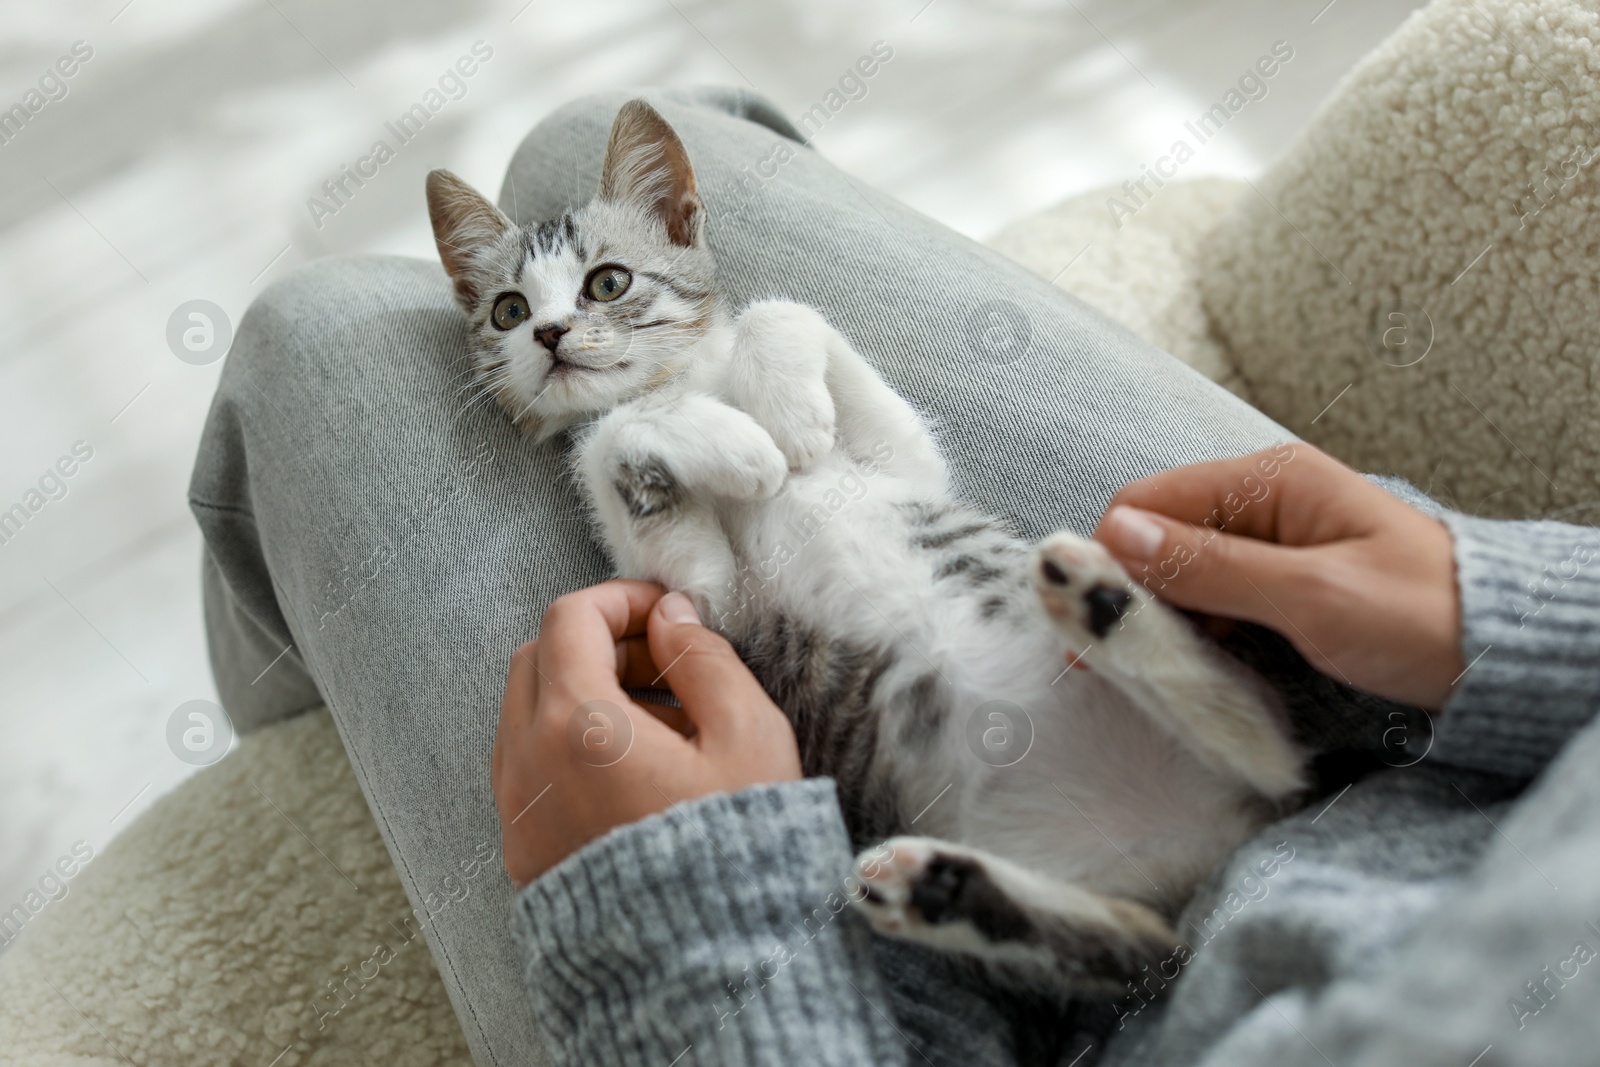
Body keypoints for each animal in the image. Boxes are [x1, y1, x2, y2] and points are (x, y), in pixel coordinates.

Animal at [432, 99, 1305, 1004]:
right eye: (506, 310)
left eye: (607, 281)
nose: (549, 332)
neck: (688, 384)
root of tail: (1205, 848)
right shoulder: (711, 601)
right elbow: (623, 451)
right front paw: (744, 450)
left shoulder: (903, 464)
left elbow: (789, 315)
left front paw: (785, 419)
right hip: (1097, 914)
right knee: (1153, 928)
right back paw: (948, 878)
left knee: (1274, 752)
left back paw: (1101, 604)